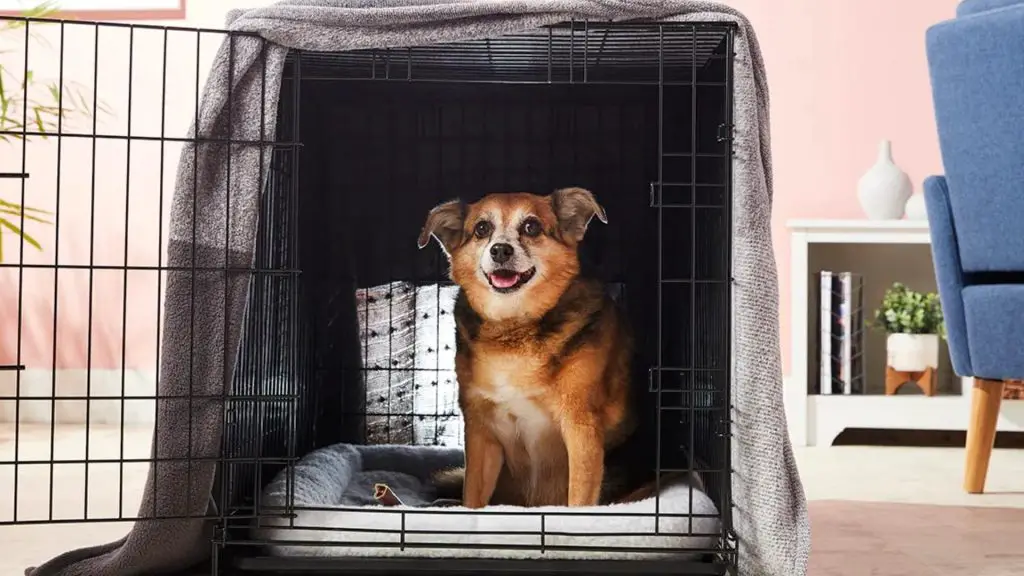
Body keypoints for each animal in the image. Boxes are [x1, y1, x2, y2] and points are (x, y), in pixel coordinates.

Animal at [415, 186, 630, 504]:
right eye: (482, 228)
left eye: (531, 227)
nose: (500, 250)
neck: (513, 326)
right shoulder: (481, 435)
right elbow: (472, 497)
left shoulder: (581, 428)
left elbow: (579, 500)